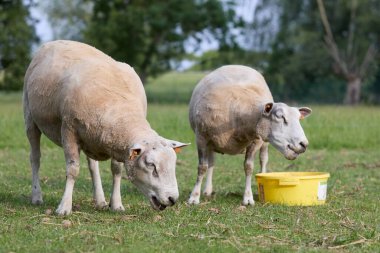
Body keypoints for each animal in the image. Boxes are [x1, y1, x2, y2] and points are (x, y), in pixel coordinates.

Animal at [23, 40, 188, 214]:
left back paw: (100, 200)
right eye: (151, 165)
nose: (172, 199)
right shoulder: (69, 130)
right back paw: (37, 196)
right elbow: (73, 170)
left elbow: (116, 170)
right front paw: (64, 207)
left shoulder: (118, 143)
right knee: (35, 158)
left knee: (92, 166)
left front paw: (116, 204)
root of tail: (55, 42)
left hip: (89, 136)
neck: (120, 109)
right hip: (29, 116)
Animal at [188, 65, 312, 206]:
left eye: (298, 118)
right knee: (211, 162)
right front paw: (194, 197)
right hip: (210, 142)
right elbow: (202, 167)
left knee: (263, 160)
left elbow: (249, 167)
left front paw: (248, 198)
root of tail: (236, 65)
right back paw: (207, 190)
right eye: (280, 116)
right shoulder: (201, 138)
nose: (304, 144)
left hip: (264, 143)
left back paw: (263, 177)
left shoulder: (255, 141)